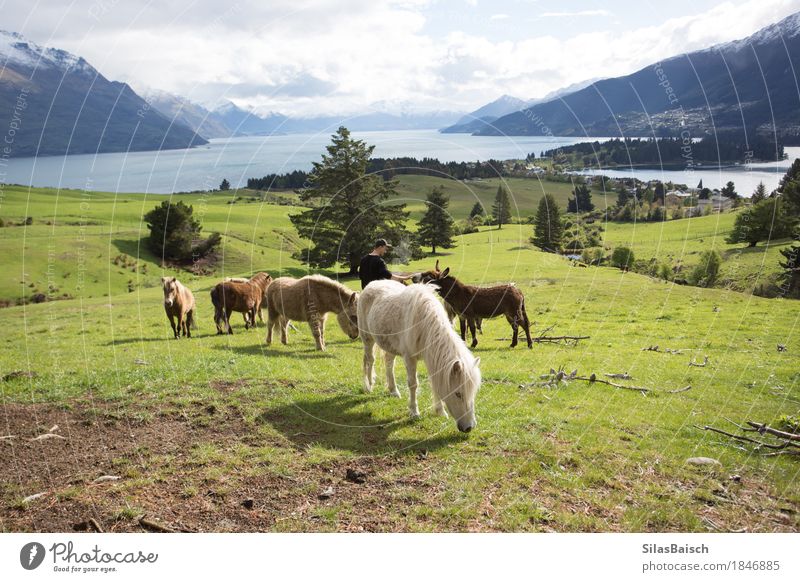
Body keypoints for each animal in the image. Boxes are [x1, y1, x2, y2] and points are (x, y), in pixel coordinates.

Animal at [358, 278, 482, 434]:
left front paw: (440, 411)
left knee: (389, 364)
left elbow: (435, 383)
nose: (469, 427)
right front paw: (414, 412)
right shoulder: (409, 358)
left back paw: (393, 391)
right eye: (458, 394)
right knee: (370, 360)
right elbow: (413, 384)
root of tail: (371, 284)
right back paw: (369, 386)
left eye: (473, 393)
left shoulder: (432, 358)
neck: (424, 324)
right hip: (367, 339)